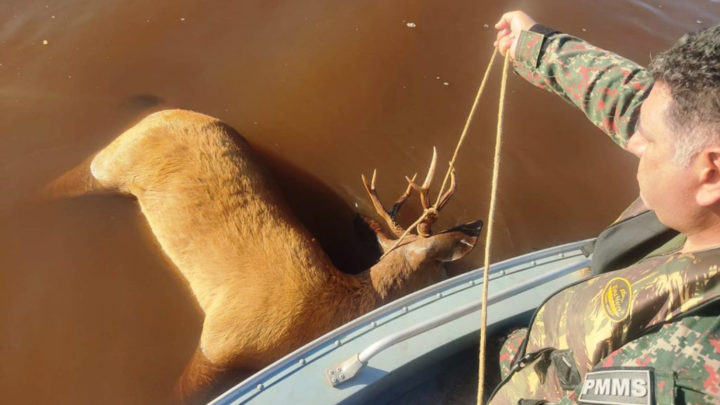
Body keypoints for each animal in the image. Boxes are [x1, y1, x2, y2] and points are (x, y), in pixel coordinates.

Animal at [46, 109, 484, 402]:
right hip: (107, 165)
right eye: (445, 269)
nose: (477, 230)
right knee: (61, 183)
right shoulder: (221, 340)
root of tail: (157, 113)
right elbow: (180, 392)